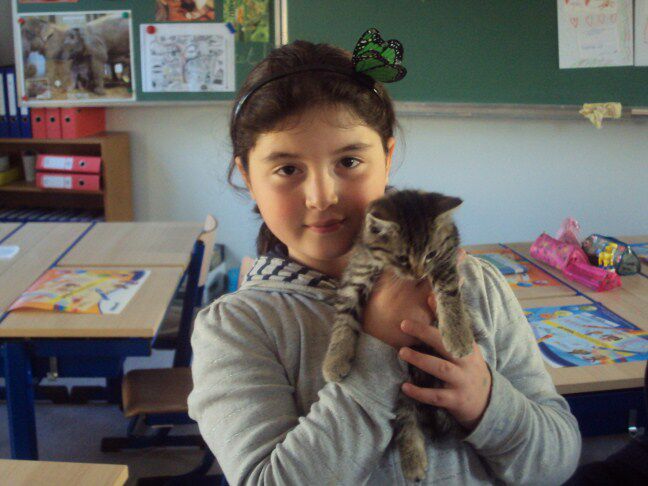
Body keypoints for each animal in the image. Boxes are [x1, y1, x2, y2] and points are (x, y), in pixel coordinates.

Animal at [322, 189, 475, 482]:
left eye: (430, 254)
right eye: (403, 258)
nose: (418, 274)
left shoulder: (447, 256)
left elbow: (449, 291)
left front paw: (458, 335)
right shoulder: (356, 273)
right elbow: (344, 318)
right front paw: (335, 360)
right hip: (404, 385)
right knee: (405, 416)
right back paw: (413, 461)